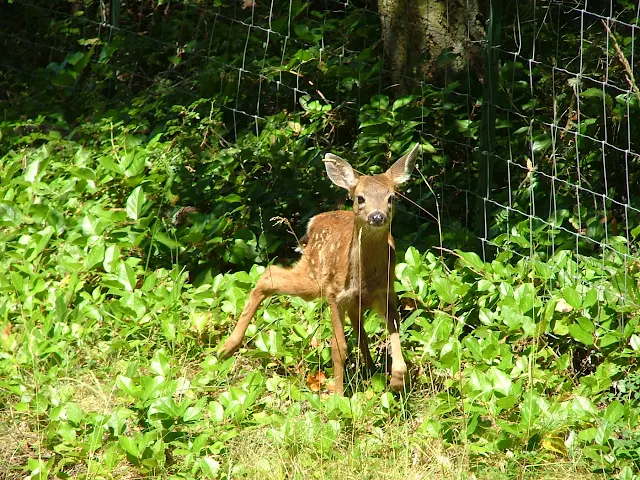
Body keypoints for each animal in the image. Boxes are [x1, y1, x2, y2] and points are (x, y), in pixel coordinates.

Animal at [220, 144, 420, 396]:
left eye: (391, 197)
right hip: (313, 273)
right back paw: (226, 348)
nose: (377, 216)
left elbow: (394, 333)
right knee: (269, 275)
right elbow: (339, 347)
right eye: (360, 198)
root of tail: (313, 221)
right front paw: (338, 395)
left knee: (360, 331)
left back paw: (372, 371)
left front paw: (396, 382)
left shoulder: (386, 292)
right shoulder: (335, 295)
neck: (364, 278)